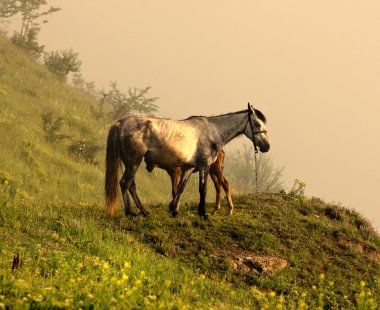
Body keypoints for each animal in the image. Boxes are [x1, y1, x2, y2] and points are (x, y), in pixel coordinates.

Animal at [104, 103, 270, 218]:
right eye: (257, 124)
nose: (266, 146)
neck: (212, 131)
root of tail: (120, 124)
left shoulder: (188, 168)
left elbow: (180, 188)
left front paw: (174, 210)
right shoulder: (204, 166)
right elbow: (202, 189)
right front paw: (203, 212)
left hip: (131, 163)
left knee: (131, 185)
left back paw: (143, 211)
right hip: (134, 162)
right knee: (125, 183)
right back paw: (131, 212)